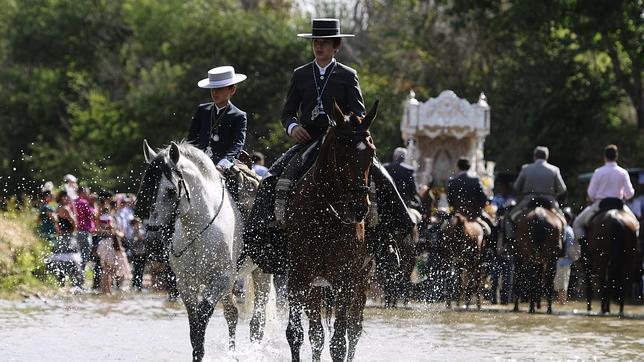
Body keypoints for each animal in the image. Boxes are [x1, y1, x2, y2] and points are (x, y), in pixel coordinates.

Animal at [136, 141, 272, 362]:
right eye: (146, 191)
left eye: (171, 191)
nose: (153, 243)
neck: (197, 228)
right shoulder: (186, 284)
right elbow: (195, 326)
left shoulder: (221, 278)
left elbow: (203, 316)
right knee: (232, 315)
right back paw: (232, 352)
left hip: (261, 273)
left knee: (257, 320)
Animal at [286, 101, 378, 362]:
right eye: (343, 152)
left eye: (371, 153)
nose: (359, 208)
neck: (326, 215)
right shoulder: (298, 278)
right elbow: (298, 334)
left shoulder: (345, 280)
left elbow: (339, 341)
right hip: (316, 284)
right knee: (317, 334)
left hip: (362, 278)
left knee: (354, 328)